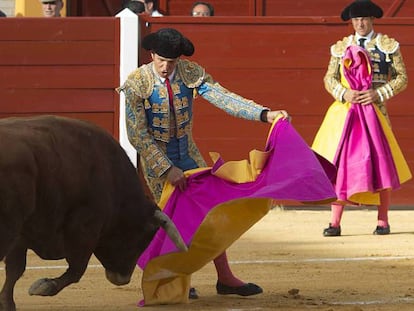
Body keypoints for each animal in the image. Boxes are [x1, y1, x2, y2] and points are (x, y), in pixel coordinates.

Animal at [0, 116, 186, 311]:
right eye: (141, 240)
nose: (122, 279)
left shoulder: (22, 234)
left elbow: (15, 269)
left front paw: (8, 303)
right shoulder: (85, 228)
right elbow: (77, 270)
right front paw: (43, 286)